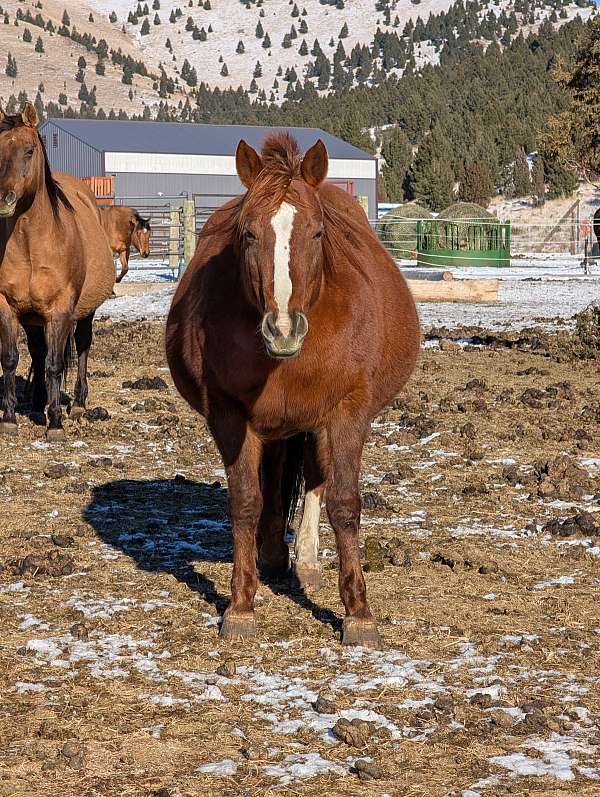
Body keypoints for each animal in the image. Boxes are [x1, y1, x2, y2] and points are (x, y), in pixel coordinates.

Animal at [0, 103, 114, 440]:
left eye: (28, 151)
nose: (4, 199)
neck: (31, 245)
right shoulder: (7, 306)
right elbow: (11, 359)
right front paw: (9, 418)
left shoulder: (61, 309)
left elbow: (54, 364)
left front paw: (55, 424)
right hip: (33, 317)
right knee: (37, 352)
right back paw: (38, 404)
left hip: (85, 312)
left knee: (82, 346)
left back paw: (77, 405)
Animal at [166, 133, 420, 648]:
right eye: (247, 233)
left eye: (317, 233)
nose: (283, 328)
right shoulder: (230, 416)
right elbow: (246, 502)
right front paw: (241, 606)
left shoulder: (346, 411)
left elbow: (344, 503)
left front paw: (358, 614)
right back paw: (272, 558)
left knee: (316, 482)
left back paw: (304, 561)